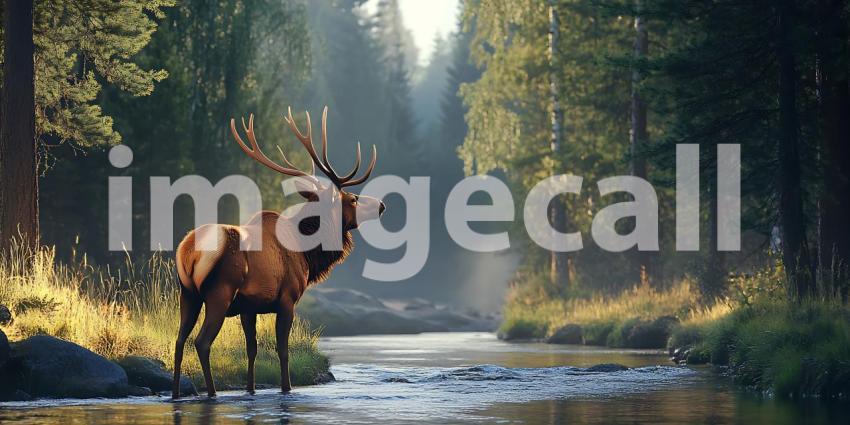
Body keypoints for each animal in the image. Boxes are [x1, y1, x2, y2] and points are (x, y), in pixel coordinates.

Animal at [171, 106, 385, 399]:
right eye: (352, 199)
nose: (382, 204)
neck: (306, 253)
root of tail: (188, 252)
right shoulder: (287, 299)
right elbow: (282, 351)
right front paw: (287, 389)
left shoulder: (248, 308)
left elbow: (251, 350)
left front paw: (251, 390)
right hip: (219, 292)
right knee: (201, 342)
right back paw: (212, 393)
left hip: (187, 293)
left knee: (179, 340)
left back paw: (175, 393)